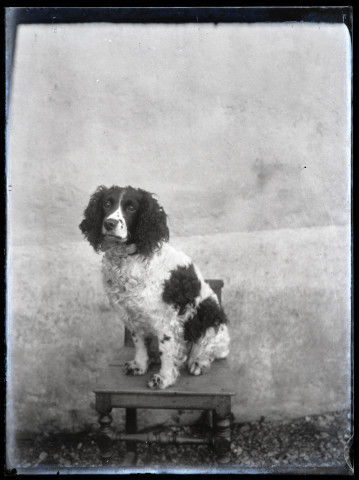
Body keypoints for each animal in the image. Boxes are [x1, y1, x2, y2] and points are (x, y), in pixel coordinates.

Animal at [79, 185, 231, 390]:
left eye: (131, 208)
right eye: (107, 204)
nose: (110, 223)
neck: (127, 259)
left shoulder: (166, 320)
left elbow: (167, 351)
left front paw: (164, 378)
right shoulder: (132, 316)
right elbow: (139, 344)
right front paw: (139, 365)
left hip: (210, 318)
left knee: (210, 349)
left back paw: (199, 362)